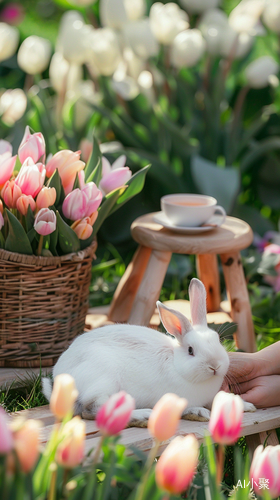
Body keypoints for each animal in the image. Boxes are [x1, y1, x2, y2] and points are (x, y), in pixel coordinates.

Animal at [42, 278, 256, 422]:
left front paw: (245, 405)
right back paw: (142, 415)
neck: (177, 366)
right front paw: (199, 412)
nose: (214, 366)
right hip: (103, 381)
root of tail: (60, 377)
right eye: (190, 350)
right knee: (94, 409)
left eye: (217, 340)